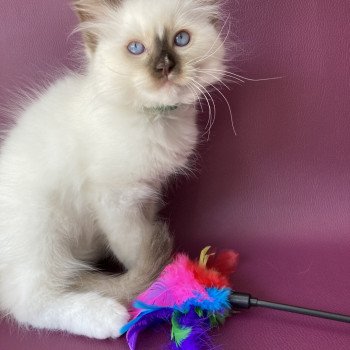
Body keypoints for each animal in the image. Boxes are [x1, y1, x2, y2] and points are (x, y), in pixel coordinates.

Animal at [0, 0, 226, 340]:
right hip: (42, 226)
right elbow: (135, 247)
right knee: (31, 303)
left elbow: (144, 233)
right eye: (136, 48)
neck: (154, 119)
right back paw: (108, 316)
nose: (165, 67)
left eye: (181, 40)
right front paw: (158, 285)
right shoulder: (117, 200)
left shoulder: (148, 192)